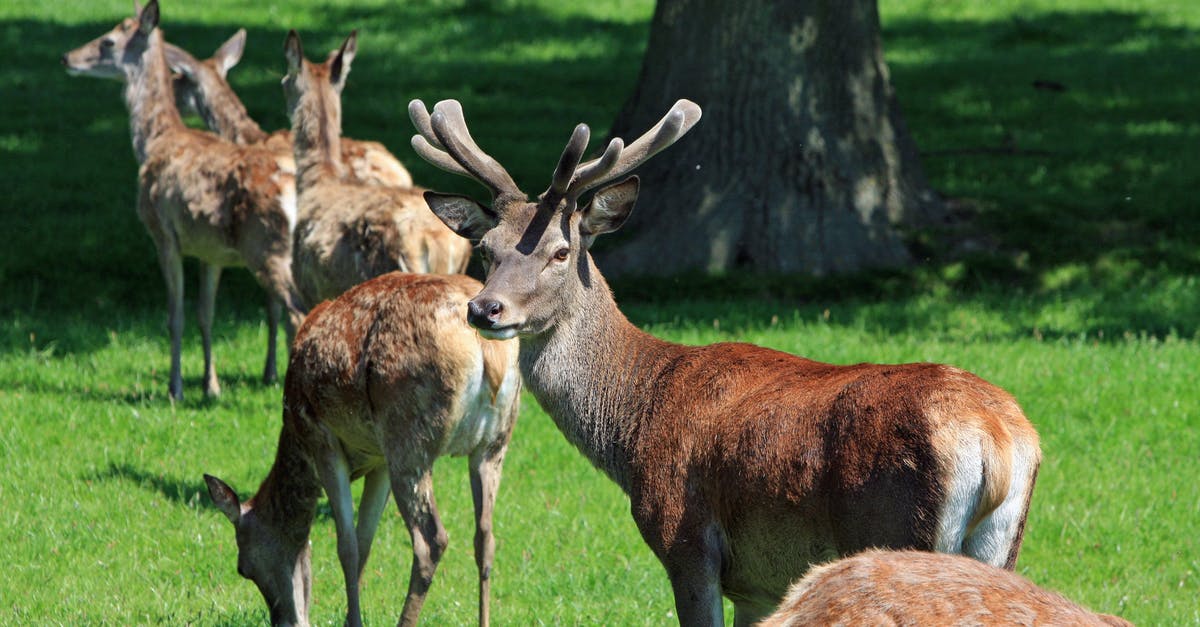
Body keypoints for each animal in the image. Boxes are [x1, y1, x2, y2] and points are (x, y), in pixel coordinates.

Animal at [62, 0, 306, 401]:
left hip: (267, 247)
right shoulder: (211, 251)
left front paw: (175, 387)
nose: (67, 57)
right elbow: (205, 314)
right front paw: (211, 386)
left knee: (297, 311)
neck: (155, 141)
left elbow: (174, 317)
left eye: (108, 41)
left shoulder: (163, 235)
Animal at [205, 271, 521, 627]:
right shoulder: (379, 460)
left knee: (431, 541)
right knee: (485, 537)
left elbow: (348, 545)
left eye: (243, 568)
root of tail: (488, 352)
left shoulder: (323, 441)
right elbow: (365, 540)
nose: (282, 620)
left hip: (409, 440)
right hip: (494, 442)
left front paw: (352, 620)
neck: (295, 439)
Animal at [406, 98, 1043, 626]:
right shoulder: (758, 585)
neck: (634, 424)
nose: (485, 308)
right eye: (486, 249)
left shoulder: (687, 540)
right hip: (1000, 543)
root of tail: (997, 442)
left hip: (897, 526)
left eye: (561, 251)